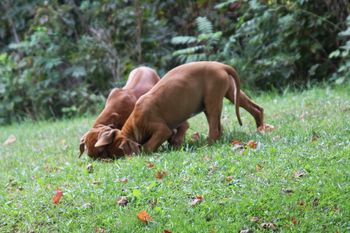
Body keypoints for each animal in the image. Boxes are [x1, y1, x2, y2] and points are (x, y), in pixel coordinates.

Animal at [94, 61, 266, 155]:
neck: (135, 120)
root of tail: (220, 66)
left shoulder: (162, 129)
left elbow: (148, 146)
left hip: (212, 101)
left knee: (215, 129)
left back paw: (207, 145)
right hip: (229, 93)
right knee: (255, 109)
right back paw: (260, 129)